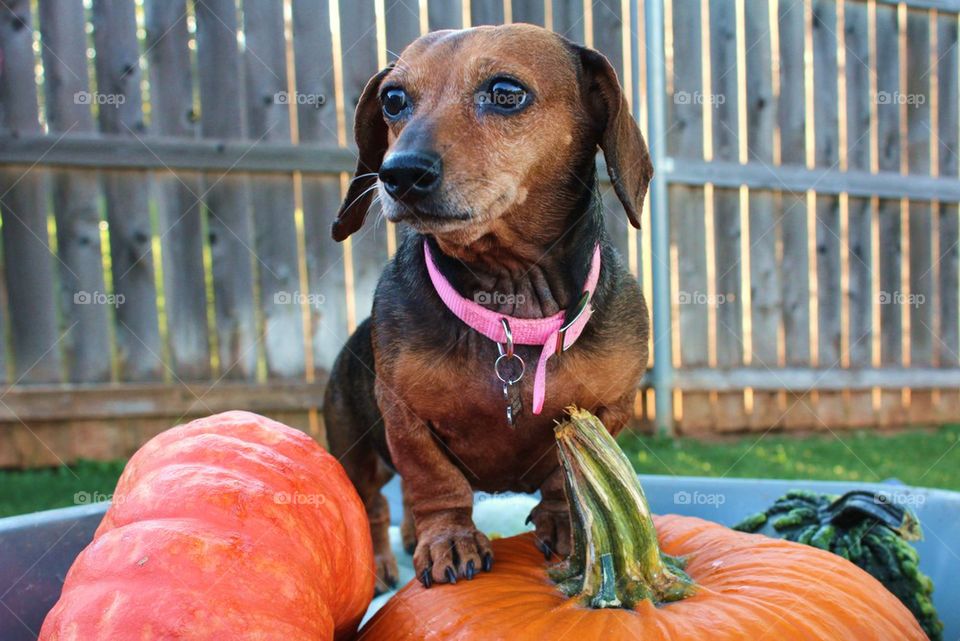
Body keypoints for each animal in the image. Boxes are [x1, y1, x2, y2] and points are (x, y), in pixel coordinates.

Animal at [324, 23, 652, 592]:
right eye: (393, 99)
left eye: (505, 92)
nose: (398, 174)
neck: (511, 308)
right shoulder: (405, 418)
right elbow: (435, 481)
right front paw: (450, 540)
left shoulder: (609, 410)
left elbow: (563, 475)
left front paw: (563, 523)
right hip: (355, 450)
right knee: (371, 506)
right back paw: (387, 558)